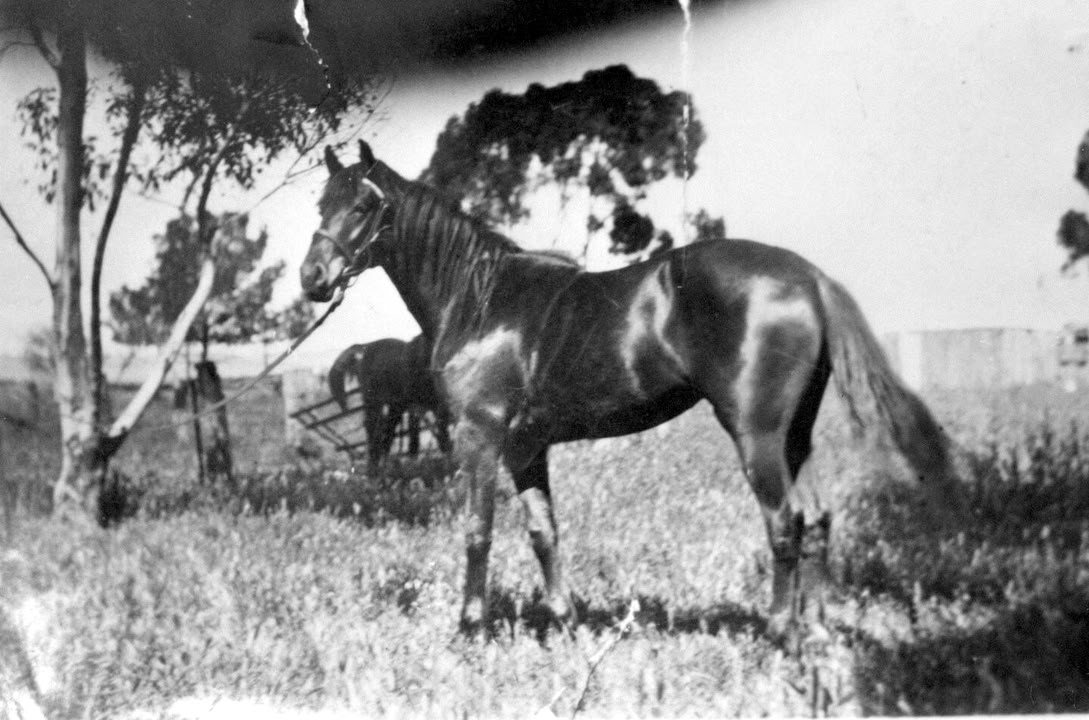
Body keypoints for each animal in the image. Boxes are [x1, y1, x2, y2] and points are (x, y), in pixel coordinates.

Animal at [327, 335, 452, 467]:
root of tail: (364, 347)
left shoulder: (425, 407)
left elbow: (424, 435)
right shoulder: (417, 406)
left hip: (392, 405)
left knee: (386, 430)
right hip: (373, 400)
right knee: (373, 428)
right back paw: (375, 463)